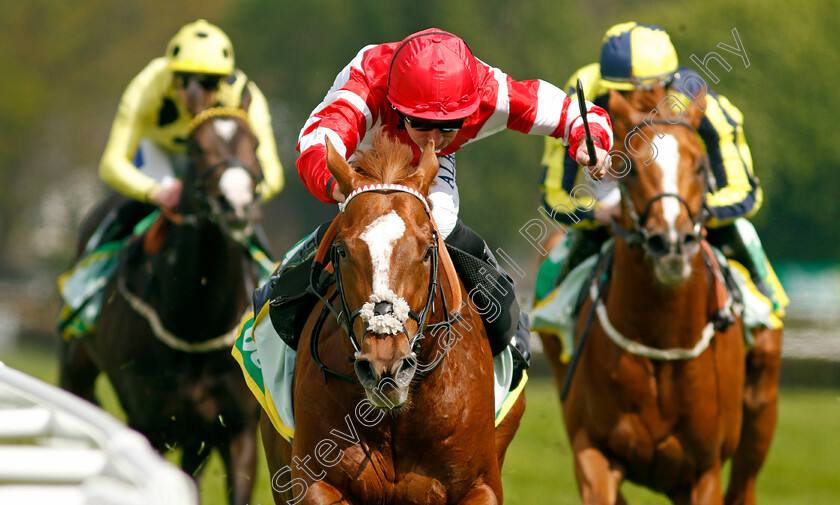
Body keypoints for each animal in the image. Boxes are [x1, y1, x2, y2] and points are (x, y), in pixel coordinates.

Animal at [58, 107, 262, 504]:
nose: (237, 205)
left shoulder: (237, 430)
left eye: (256, 144)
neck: (196, 325)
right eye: (195, 148)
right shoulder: (151, 426)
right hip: (76, 365)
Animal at [540, 91, 776, 504]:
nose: (671, 243)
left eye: (701, 166)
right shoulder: (593, 451)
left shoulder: (703, 471)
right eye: (630, 169)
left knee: (745, 481)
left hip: (761, 399)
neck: (661, 340)